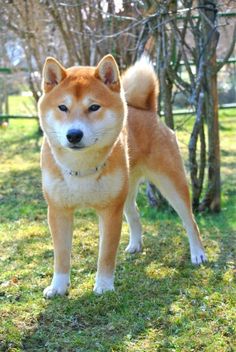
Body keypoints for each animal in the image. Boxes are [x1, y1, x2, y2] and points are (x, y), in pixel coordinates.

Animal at [37, 54, 206, 296]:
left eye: (94, 107)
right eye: (62, 107)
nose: (74, 135)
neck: (81, 167)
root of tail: (148, 111)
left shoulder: (110, 211)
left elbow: (106, 254)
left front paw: (104, 285)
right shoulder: (59, 210)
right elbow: (61, 256)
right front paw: (58, 287)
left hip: (171, 184)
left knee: (190, 221)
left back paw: (198, 253)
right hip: (126, 191)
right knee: (135, 215)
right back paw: (135, 245)